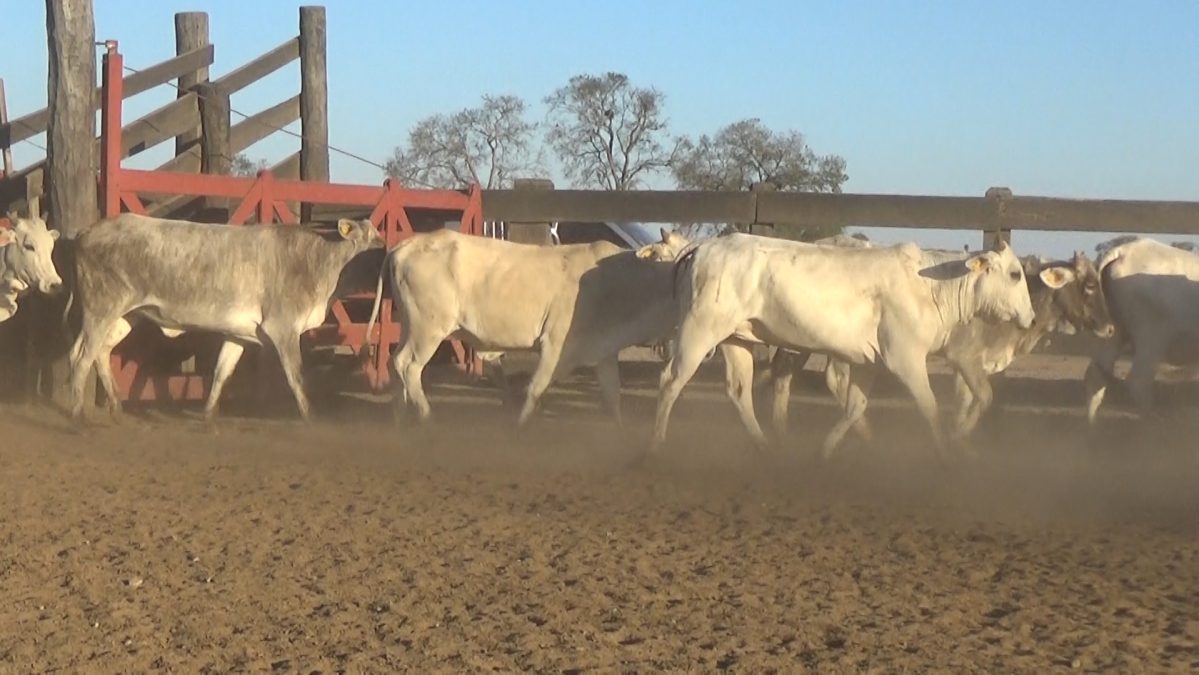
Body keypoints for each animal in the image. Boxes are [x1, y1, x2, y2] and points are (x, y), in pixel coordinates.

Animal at [70, 213, 378, 424]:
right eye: (373, 240)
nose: (385, 252)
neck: (315, 262)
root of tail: (89, 230)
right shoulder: (283, 328)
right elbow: (296, 376)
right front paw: (311, 417)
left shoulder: (238, 333)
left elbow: (222, 372)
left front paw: (208, 416)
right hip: (101, 308)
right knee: (82, 356)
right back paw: (77, 416)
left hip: (126, 315)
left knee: (101, 352)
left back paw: (116, 408)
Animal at [652, 233, 1035, 460]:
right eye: (1015, 274)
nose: (1030, 317)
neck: (931, 286)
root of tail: (702, 247)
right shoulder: (905, 359)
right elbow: (929, 407)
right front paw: (946, 452)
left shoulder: (870, 362)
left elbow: (855, 406)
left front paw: (826, 451)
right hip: (700, 329)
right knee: (671, 380)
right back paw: (655, 445)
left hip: (736, 338)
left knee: (738, 390)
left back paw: (763, 445)